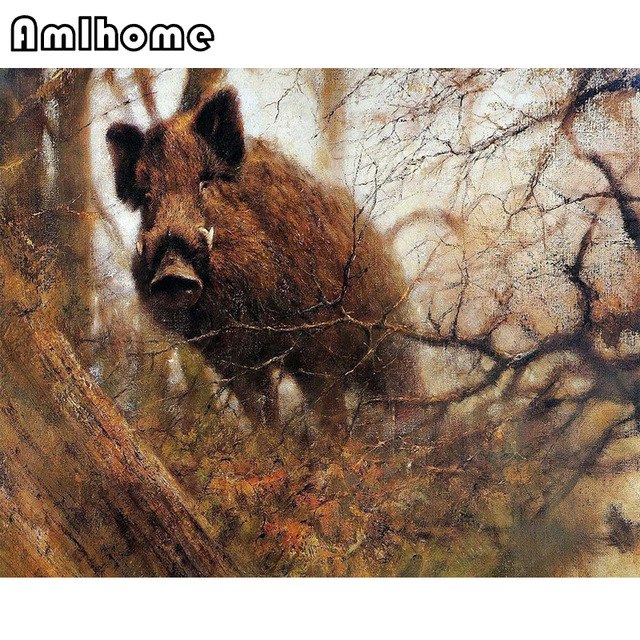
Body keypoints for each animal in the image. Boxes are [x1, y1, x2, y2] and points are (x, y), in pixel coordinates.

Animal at [106, 87, 421, 435]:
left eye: (205, 183)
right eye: (147, 197)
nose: (172, 273)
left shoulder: (318, 343)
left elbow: (328, 412)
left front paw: (333, 446)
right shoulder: (231, 358)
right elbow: (259, 409)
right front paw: (268, 441)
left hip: (391, 342)